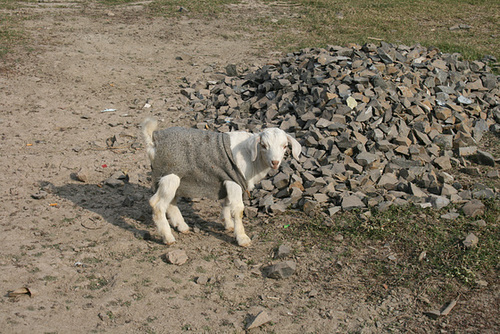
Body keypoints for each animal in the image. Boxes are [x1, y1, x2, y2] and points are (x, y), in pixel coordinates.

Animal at [141, 118, 300, 247]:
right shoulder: (234, 180)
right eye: (264, 145)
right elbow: (238, 209)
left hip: (173, 177)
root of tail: (153, 141)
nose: (275, 162)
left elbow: (227, 203)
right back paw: (168, 237)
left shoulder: (227, 179)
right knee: (157, 205)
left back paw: (182, 226)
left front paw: (228, 224)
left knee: (171, 202)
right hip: (170, 175)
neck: (251, 157)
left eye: (285, 146)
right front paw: (242, 238)